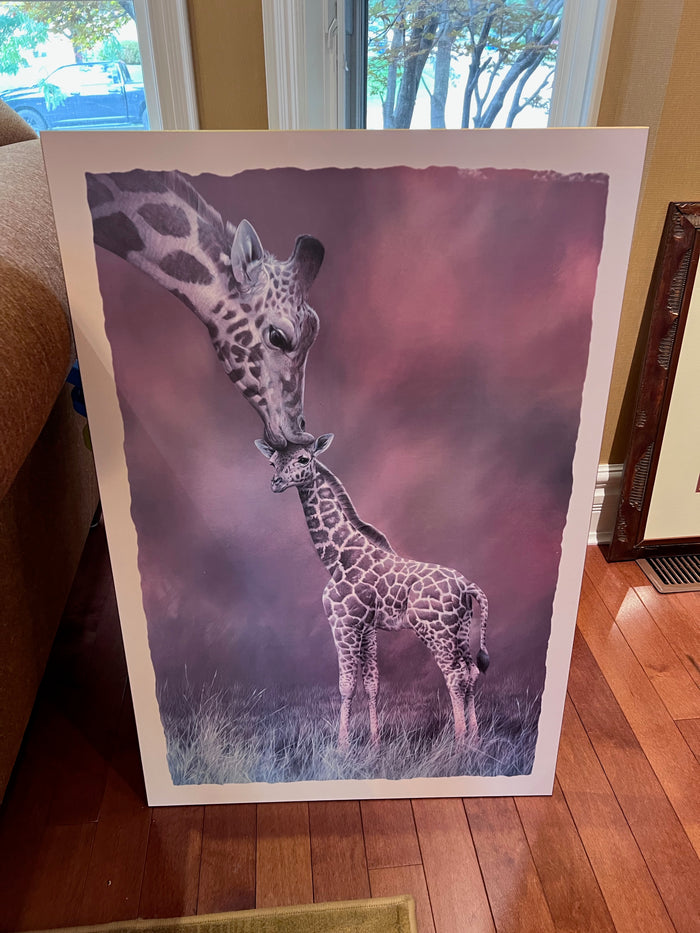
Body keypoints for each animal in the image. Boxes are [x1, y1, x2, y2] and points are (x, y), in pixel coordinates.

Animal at [255, 434, 490, 749]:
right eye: (272, 462)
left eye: (304, 459)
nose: (276, 482)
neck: (338, 557)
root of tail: (468, 585)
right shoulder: (367, 628)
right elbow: (371, 684)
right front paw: (375, 742)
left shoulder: (343, 623)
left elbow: (346, 685)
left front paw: (342, 746)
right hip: (462, 630)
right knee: (472, 671)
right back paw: (475, 738)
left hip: (436, 631)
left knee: (455, 676)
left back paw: (459, 742)